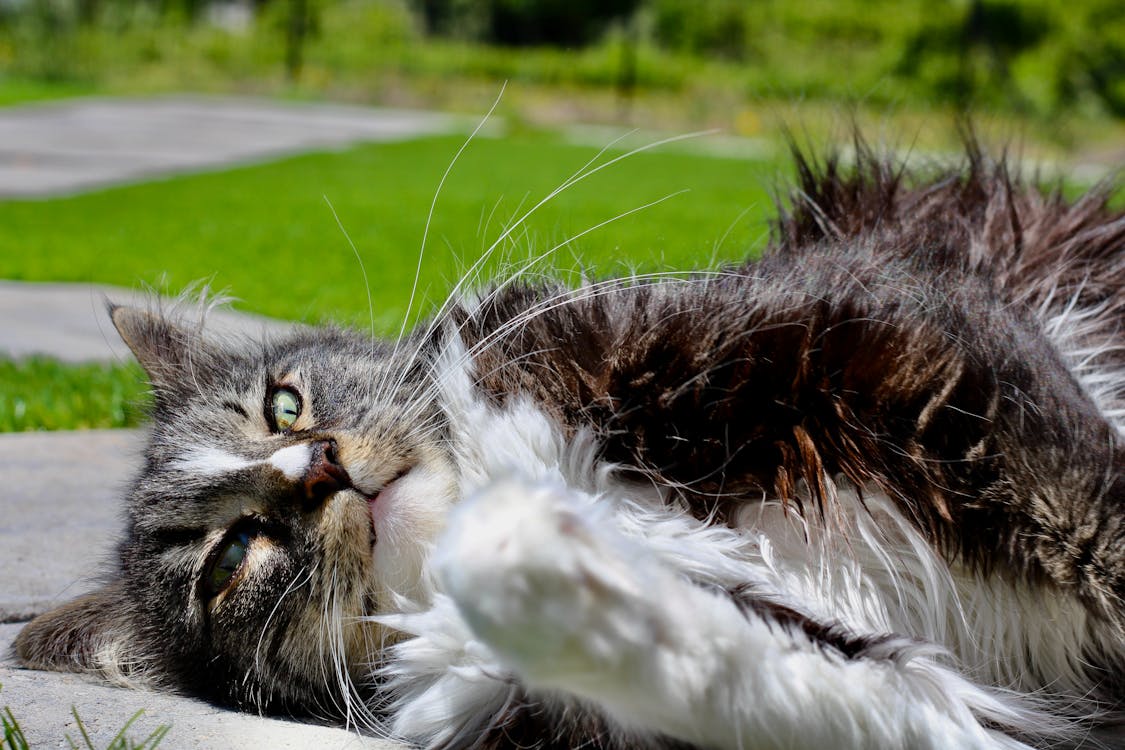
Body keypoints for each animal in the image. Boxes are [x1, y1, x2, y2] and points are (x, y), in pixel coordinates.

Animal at [10, 136, 1125, 750]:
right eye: (231, 559)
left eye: (281, 408)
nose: (318, 467)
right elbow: (757, 675)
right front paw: (546, 574)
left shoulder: (900, 347)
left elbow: (1083, 515)